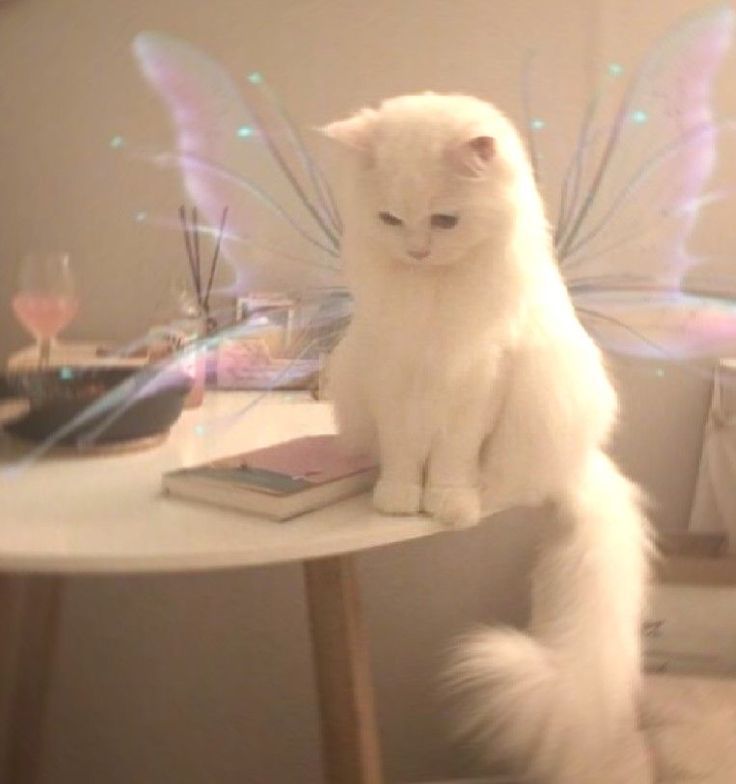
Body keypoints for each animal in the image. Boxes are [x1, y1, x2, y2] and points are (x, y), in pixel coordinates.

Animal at [324, 93, 652, 784]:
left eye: (444, 221)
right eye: (390, 219)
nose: (418, 251)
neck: (432, 295)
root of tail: (580, 463)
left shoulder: (477, 379)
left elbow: (449, 459)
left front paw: (445, 503)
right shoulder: (395, 379)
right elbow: (403, 454)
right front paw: (399, 501)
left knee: (505, 484)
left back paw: (477, 498)